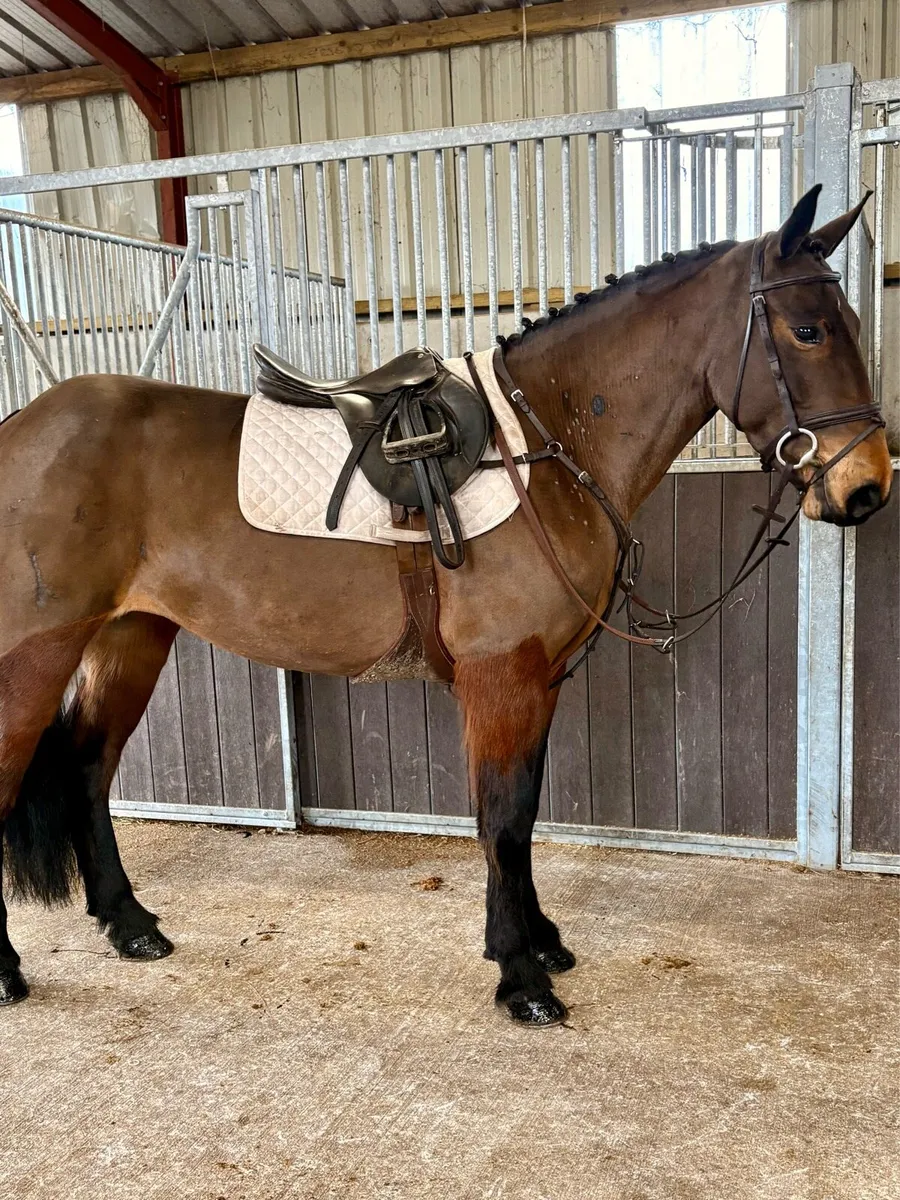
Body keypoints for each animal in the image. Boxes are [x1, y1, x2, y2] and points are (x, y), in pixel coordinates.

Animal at [0, 185, 891, 1025]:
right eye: (809, 330)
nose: (867, 486)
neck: (545, 444)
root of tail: (20, 427)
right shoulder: (501, 676)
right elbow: (500, 819)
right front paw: (521, 976)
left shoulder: (539, 680)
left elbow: (524, 813)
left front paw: (541, 942)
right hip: (38, 657)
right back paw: (10, 971)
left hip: (131, 637)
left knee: (87, 768)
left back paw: (129, 923)